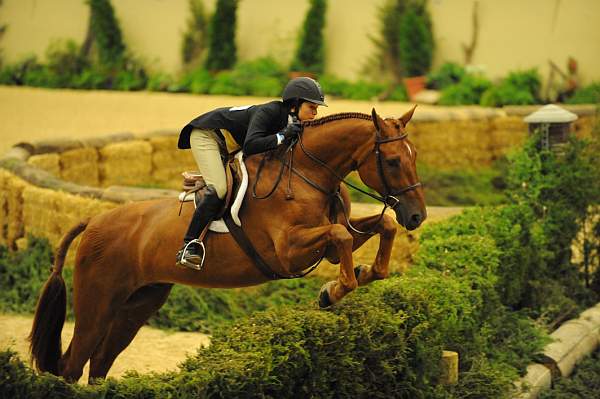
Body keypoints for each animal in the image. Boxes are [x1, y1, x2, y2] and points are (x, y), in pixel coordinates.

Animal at [29, 107, 426, 384]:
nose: (417, 216)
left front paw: (359, 273)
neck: (307, 174)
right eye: (393, 161)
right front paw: (332, 291)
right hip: (98, 302)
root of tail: (94, 221)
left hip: (137, 304)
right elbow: (342, 238)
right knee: (72, 364)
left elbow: (381, 227)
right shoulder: (288, 252)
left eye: (414, 156)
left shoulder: (327, 241)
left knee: (99, 364)